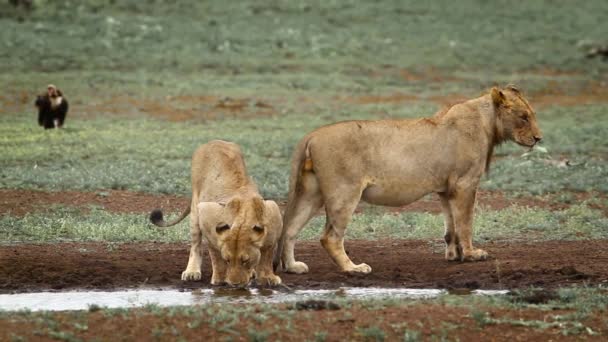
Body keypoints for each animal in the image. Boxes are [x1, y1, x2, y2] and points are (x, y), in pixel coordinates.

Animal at [150, 140, 282, 286]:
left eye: (245, 261)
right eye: (227, 260)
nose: (235, 284)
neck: (244, 217)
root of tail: (213, 141)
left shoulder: (273, 212)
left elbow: (267, 256)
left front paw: (268, 277)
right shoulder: (206, 213)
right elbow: (215, 255)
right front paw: (219, 279)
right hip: (196, 207)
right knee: (195, 245)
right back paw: (192, 271)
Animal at [274, 86, 544, 276]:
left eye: (532, 115)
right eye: (523, 117)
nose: (538, 138)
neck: (486, 122)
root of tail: (311, 135)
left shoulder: (446, 189)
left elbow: (451, 228)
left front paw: (453, 255)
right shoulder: (465, 184)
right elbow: (465, 223)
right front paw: (471, 254)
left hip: (311, 193)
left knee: (290, 229)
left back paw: (294, 267)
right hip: (344, 193)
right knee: (329, 237)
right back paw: (353, 268)